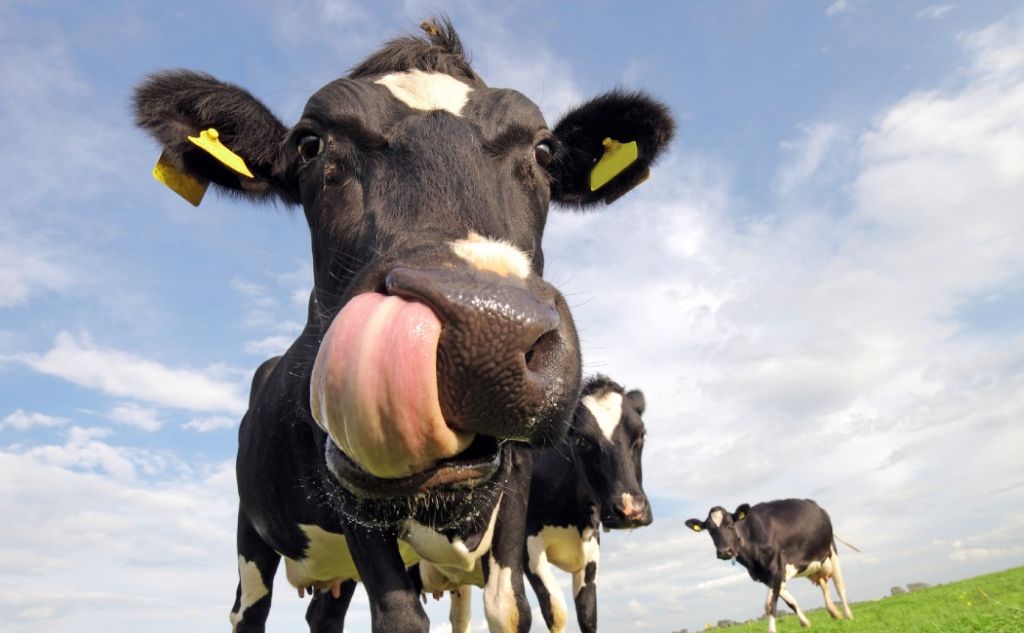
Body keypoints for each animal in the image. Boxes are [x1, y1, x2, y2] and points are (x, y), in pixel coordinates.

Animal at [413, 375, 652, 633]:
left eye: (641, 435)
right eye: (581, 440)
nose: (631, 510)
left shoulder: (590, 551)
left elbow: (588, 615)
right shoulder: (528, 547)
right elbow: (556, 610)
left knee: (460, 619)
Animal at [686, 499, 854, 633]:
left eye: (731, 524)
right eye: (709, 529)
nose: (724, 551)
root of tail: (816, 506)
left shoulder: (776, 569)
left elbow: (769, 605)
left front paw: (772, 630)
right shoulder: (766, 575)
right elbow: (790, 601)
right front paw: (805, 622)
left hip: (831, 551)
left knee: (840, 587)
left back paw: (848, 615)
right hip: (816, 565)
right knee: (823, 584)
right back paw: (834, 613)